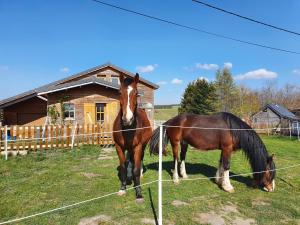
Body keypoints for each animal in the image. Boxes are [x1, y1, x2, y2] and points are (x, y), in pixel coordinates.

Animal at [113, 73, 152, 202]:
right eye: (120, 92)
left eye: (136, 92)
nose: (127, 119)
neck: (128, 129)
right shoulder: (119, 147)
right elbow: (123, 167)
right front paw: (122, 188)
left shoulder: (138, 147)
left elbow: (135, 168)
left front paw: (138, 193)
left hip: (142, 146)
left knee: (139, 161)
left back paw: (140, 174)